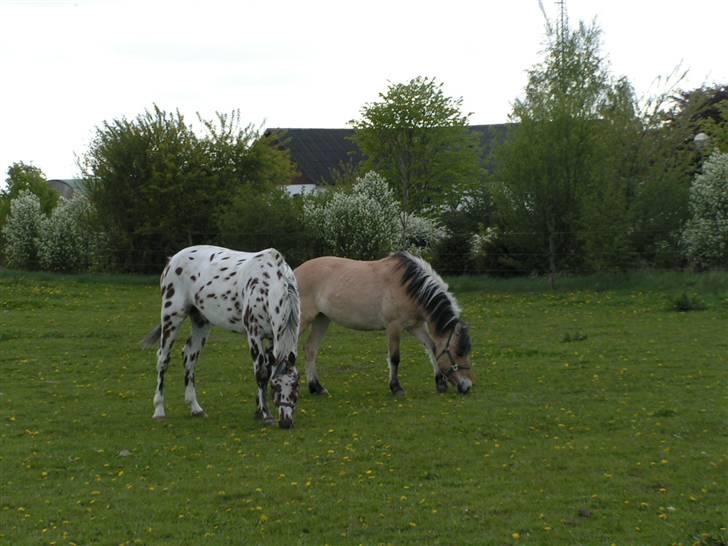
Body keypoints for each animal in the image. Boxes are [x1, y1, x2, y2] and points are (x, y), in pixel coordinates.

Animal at [142, 244, 302, 428]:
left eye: (296, 385)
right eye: (275, 386)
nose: (286, 422)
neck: (268, 284)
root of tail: (172, 260)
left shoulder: (271, 339)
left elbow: (267, 371)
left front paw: (258, 410)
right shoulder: (254, 335)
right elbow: (261, 373)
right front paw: (265, 414)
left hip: (201, 321)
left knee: (190, 356)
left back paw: (195, 408)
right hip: (171, 317)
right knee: (163, 359)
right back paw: (159, 410)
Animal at [292, 251, 474, 396]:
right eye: (458, 353)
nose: (467, 387)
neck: (408, 286)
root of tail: (294, 272)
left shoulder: (415, 326)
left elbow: (432, 348)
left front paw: (440, 383)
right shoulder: (394, 326)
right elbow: (394, 358)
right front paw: (396, 388)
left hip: (322, 319)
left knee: (310, 350)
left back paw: (316, 388)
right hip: (303, 320)